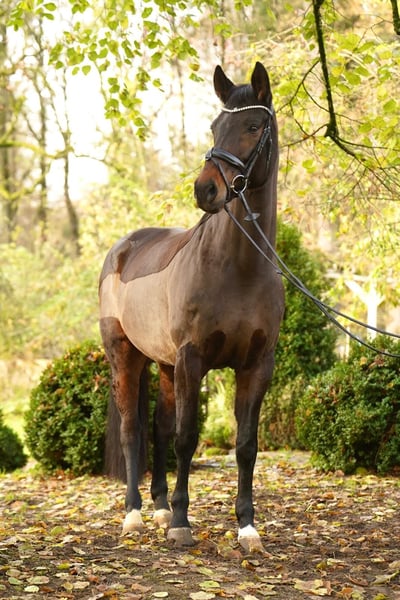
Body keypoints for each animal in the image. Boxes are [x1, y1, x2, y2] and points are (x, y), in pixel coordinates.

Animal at [99, 62, 284, 553]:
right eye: (215, 126)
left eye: (253, 126)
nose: (205, 190)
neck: (237, 268)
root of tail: (124, 247)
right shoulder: (192, 359)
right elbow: (186, 438)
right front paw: (182, 523)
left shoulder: (257, 364)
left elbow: (245, 444)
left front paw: (246, 527)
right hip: (126, 356)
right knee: (133, 431)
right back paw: (135, 515)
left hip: (164, 365)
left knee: (158, 429)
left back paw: (160, 506)